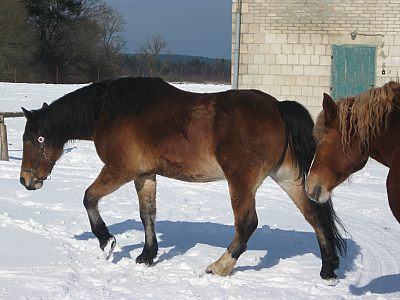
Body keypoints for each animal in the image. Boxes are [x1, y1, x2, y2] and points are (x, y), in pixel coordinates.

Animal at [18, 77, 346, 278]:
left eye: (34, 139)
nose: (25, 180)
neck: (111, 111)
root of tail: (278, 107)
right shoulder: (144, 174)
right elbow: (147, 214)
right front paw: (147, 255)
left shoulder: (119, 170)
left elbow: (89, 198)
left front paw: (106, 242)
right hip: (289, 178)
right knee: (315, 217)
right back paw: (328, 269)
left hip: (240, 181)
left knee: (247, 223)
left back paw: (219, 266)